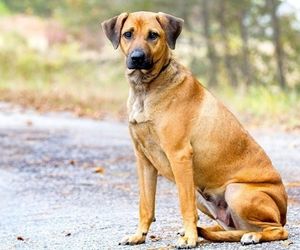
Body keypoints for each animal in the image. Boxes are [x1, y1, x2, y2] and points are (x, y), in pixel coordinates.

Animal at [101, 11, 288, 248]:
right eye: (128, 34)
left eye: (153, 35)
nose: (137, 57)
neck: (145, 89)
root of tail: (284, 212)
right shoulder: (143, 160)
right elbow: (146, 205)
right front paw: (139, 235)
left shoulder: (179, 155)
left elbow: (185, 206)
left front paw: (189, 238)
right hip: (202, 195)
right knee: (230, 228)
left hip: (236, 191)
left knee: (277, 230)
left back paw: (252, 236)